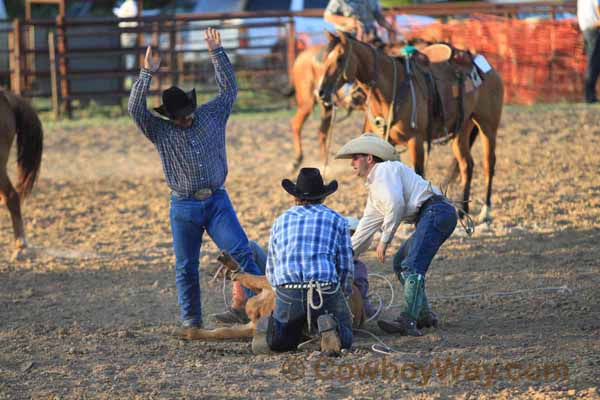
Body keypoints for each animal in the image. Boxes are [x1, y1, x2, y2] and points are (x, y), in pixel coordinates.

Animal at [171, 252, 364, 340]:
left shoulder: (253, 327)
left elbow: (223, 332)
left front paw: (186, 332)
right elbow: (222, 331)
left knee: (247, 278)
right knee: (246, 277)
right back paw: (226, 265)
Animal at [316, 31, 504, 223]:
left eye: (340, 58)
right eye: (324, 59)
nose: (321, 92)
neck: (391, 90)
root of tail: (487, 68)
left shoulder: (416, 141)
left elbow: (418, 173)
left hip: (488, 126)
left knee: (489, 163)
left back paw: (485, 211)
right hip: (461, 130)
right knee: (467, 165)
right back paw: (462, 212)